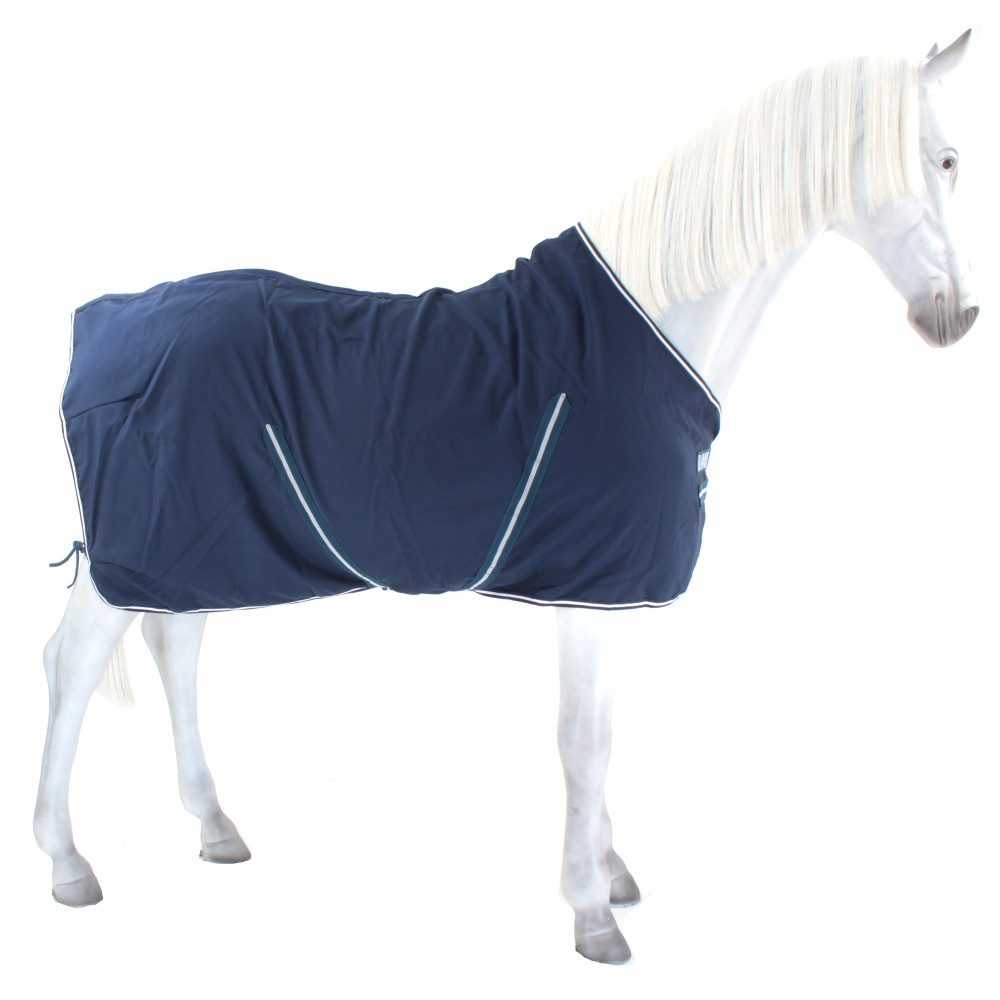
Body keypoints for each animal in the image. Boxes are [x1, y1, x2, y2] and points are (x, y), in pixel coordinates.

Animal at [35, 30, 979, 965]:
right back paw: (66, 862)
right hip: (148, 545)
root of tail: (103, 322)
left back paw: (214, 826)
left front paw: (612, 873)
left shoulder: (610, 588)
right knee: (73, 662)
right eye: (945, 157)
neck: (641, 335)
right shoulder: (587, 589)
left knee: (176, 647)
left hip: (197, 543)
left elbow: (605, 731)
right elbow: (583, 739)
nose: (958, 316)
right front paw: (591, 912)